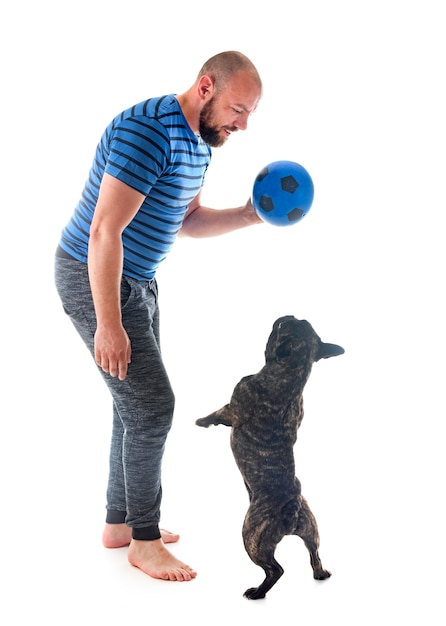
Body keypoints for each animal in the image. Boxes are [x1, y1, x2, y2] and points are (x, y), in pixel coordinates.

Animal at [195, 314, 344, 596]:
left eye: (281, 328)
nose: (287, 316)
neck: (292, 376)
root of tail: (292, 508)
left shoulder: (233, 407)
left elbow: (217, 413)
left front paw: (201, 421)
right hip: (311, 529)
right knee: (315, 554)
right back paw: (320, 574)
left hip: (252, 538)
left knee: (276, 570)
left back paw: (257, 592)